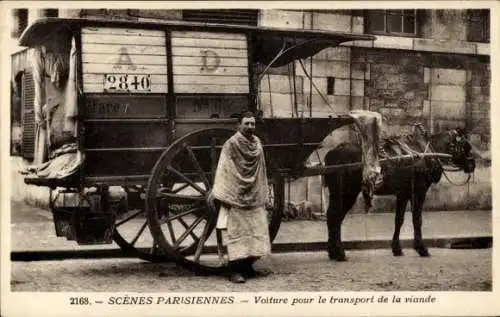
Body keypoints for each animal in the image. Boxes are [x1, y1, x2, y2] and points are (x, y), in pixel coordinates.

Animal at [324, 124, 476, 260]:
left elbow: (399, 220)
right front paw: (421, 248)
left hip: (337, 193)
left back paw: (333, 252)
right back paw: (339, 253)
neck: (428, 152)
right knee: (335, 216)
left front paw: (396, 248)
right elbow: (417, 220)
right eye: (466, 146)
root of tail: (332, 153)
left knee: (332, 216)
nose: (472, 165)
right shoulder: (418, 193)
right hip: (347, 193)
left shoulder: (403, 194)